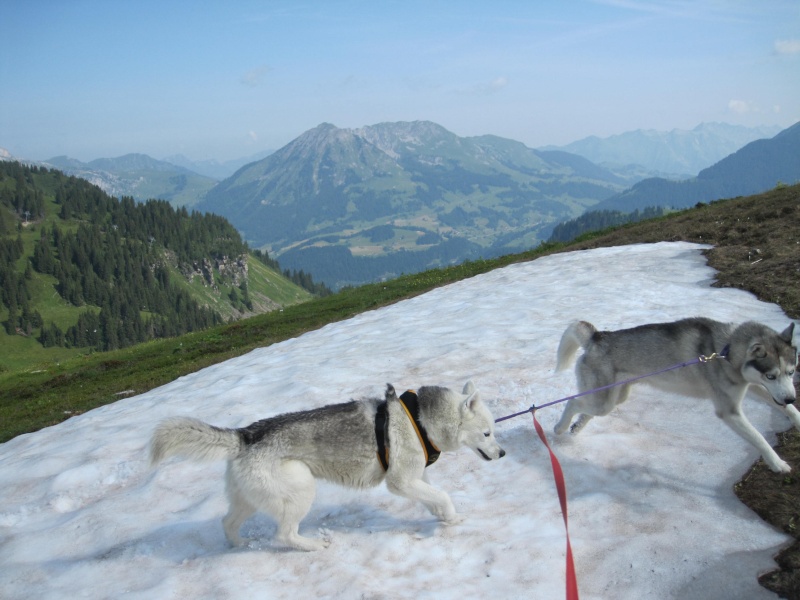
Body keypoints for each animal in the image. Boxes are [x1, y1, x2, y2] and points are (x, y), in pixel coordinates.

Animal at [148, 382, 506, 552]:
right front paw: (453, 518)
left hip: (250, 499)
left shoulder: (416, 477)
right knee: (284, 534)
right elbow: (443, 496)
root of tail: (245, 436)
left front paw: (444, 518)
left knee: (227, 523)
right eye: (487, 433)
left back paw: (239, 546)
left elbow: (434, 497)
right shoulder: (400, 482)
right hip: (301, 488)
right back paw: (313, 546)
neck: (419, 419)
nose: (502, 453)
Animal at [552, 318, 796, 474]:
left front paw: (796, 417)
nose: (790, 397)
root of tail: (597, 336)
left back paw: (576, 427)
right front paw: (778, 464)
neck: (726, 350)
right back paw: (560, 428)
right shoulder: (730, 411)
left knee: (585, 409)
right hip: (603, 400)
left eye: (791, 372)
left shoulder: (753, 385)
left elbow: (787, 409)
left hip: (613, 398)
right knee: (573, 401)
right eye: (771, 375)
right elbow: (758, 438)